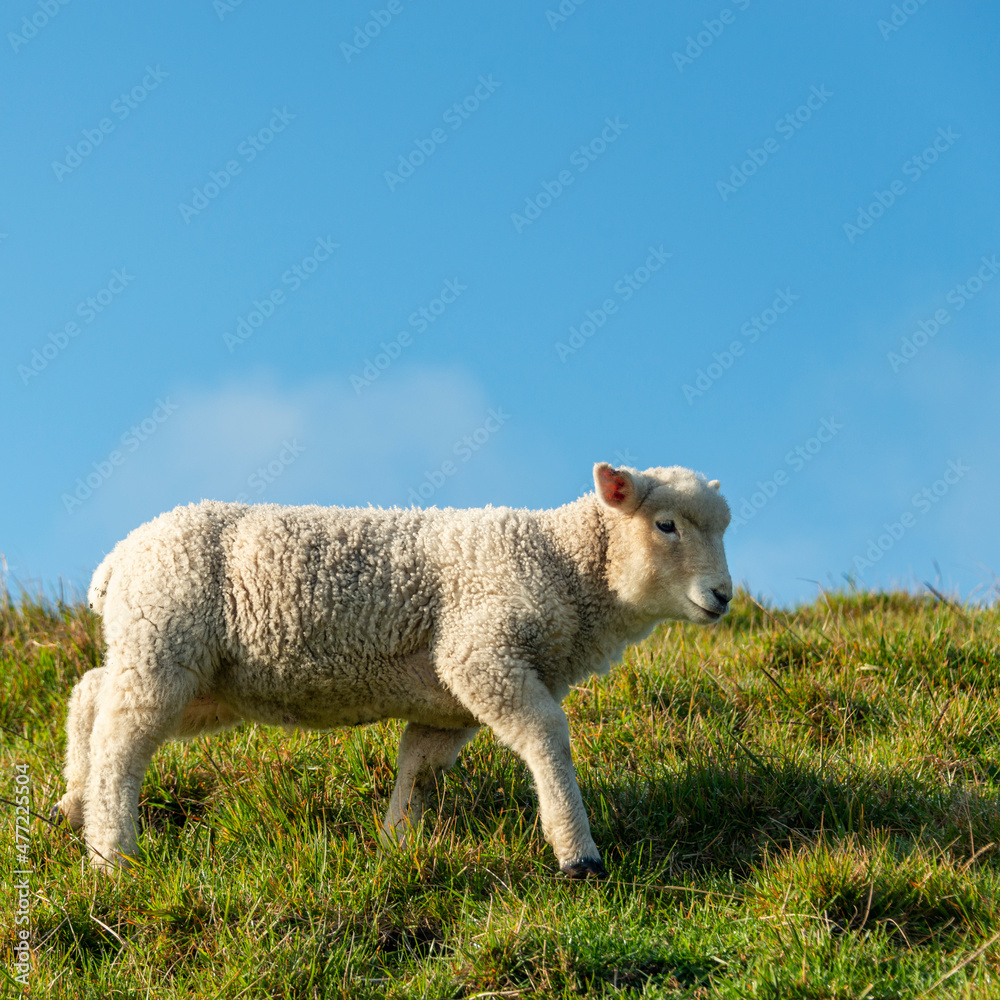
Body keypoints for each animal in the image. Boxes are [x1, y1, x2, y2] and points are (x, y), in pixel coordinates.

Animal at [55, 462, 732, 877]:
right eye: (666, 525)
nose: (723, 596)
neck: (565, 564)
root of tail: (117, 561)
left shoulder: (451, 702)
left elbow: (419, 767)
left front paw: (397, 845)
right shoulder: (481, 652)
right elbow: (547, 738)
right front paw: (578, 853)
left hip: (195, 672)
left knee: (91, 694)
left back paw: (70, 804)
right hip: (164, 638)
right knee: (121, 743)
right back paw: (111, 855)